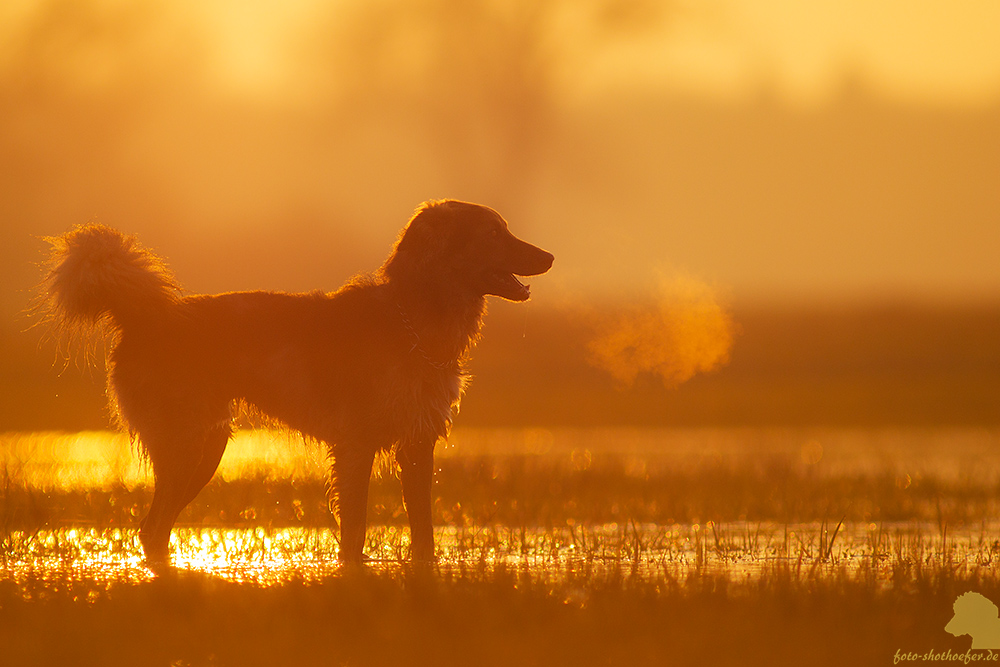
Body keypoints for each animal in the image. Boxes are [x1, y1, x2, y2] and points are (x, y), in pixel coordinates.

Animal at [37, 201, 556, 568]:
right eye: (493, 233)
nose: (550, 255)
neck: (413, 319)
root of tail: (145, 316)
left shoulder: (416, 445)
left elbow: (423, 532)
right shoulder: (356, 446)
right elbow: (355, 530)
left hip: (204, 450)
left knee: (155, 529)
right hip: (188, 447)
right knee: (152, 527)